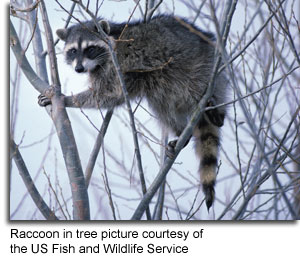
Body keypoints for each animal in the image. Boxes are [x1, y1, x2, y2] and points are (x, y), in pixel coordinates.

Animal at [39, 15, 227, 211]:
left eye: (90, 49)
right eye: (73, 51)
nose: (79, 69)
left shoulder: (118, 66)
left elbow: (108, 94)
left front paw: (67, 99)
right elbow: (111, 96)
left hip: (201, 68)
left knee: (195, 87)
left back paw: (217, 114)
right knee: (161, 104)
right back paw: (181, 131)